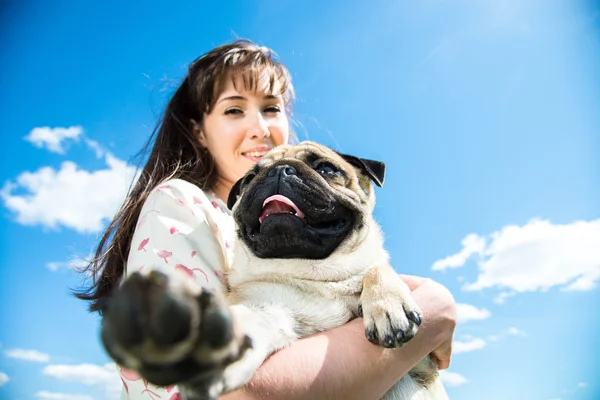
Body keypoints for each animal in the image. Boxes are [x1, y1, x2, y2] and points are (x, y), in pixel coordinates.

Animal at [101, 141, 448, 400]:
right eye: (250, 177)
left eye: (326, 169)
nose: (279, 170)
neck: (313, 272)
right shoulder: (270, 309)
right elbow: (254, 321)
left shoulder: (423, 363)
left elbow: (376, 268)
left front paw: (387, 304)